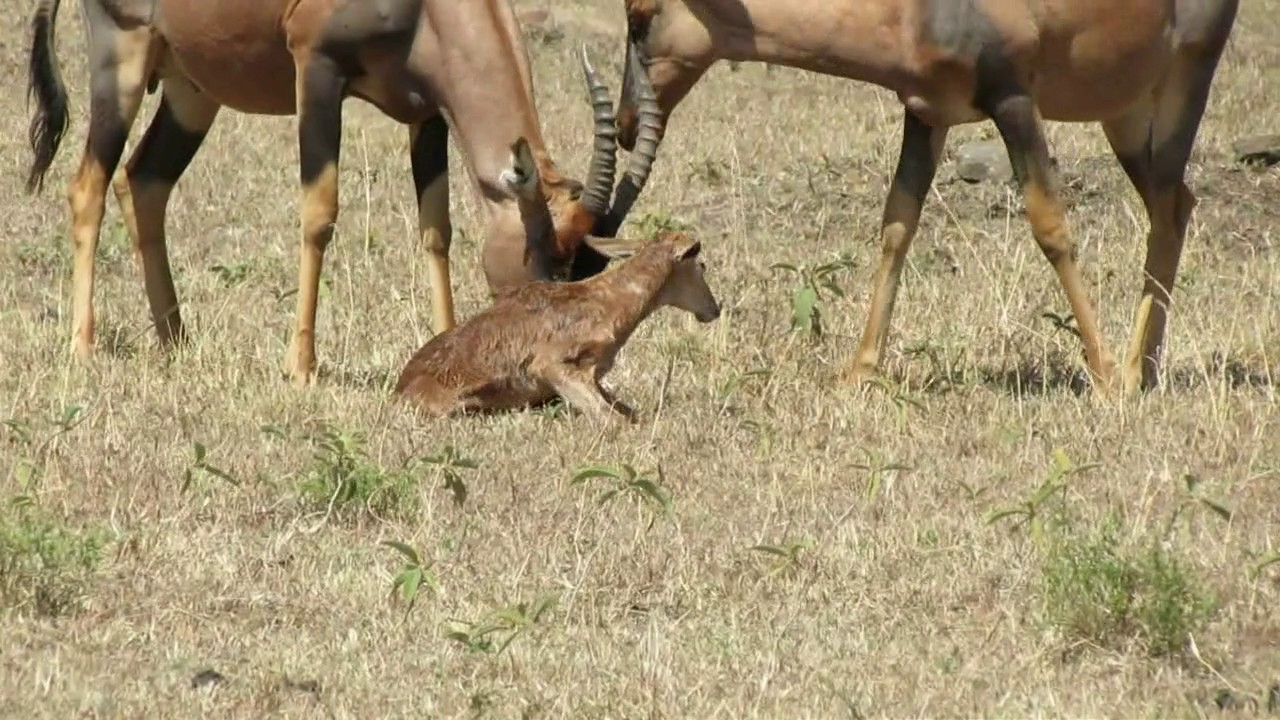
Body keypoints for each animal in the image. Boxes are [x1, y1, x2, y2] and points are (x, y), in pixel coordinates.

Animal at [22, 0, 662, 386]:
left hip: (191, 89)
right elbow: (320, 213)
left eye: (586, 268)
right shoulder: (317, 71)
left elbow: (437, 231)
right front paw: (301, 368)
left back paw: (176, 342)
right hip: (122, 57)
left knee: (144, 183)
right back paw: (83, 348)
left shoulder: (426, 114)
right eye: (546, 260)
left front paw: (443, 344)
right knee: (88, 186)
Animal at [394, 222, 720, 422]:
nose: (714, 309)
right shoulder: (553, 366)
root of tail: (401, 388)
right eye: (701, 265)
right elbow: (614, 420)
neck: (604, 298)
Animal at [600, 0, 1241, 396]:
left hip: (1185, 79)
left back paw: (1130, 373)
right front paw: (858, 373)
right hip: (1124, 112)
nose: (629, 124)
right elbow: (897, 225)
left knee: (1168, 207)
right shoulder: (927, 113)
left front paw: (1102, 377)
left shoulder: (1013, 100)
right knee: (1176, 204)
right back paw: (1146, 369)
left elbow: (1049, 225)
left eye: (639, 14)